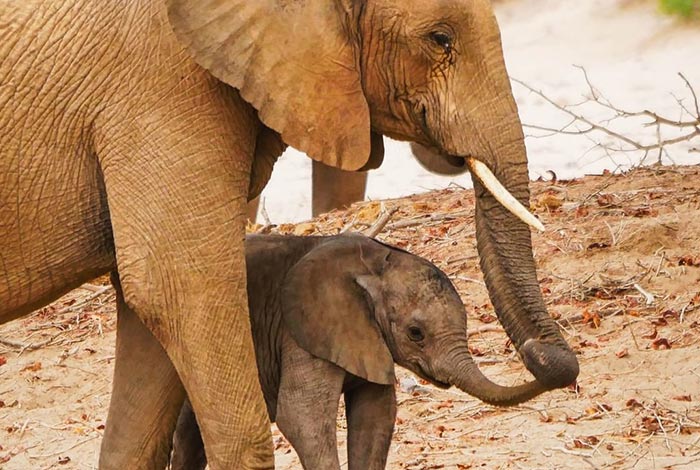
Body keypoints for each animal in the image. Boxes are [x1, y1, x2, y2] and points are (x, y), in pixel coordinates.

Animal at [171, 233, 548, 468]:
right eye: (415, 334)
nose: (535, 350)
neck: (374, 264)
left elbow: (376, 415)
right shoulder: (301, 332)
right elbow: (301, 417)